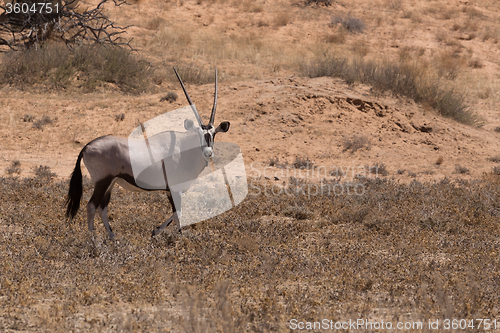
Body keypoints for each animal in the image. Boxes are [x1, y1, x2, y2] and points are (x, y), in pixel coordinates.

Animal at [65, 67, 230, 239]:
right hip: (102, 181)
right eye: (198, 133)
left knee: (102, 207)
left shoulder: (172, 191)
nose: (208, 153)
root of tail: (87, 146)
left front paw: (167, 233)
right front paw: (166, 234)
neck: (184, 149)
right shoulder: (174, 189)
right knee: (92, 206)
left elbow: (176, 214)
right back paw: (92, 240)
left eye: (213, 134)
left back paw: (112, 238)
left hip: (110, 183)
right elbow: (178, 213)